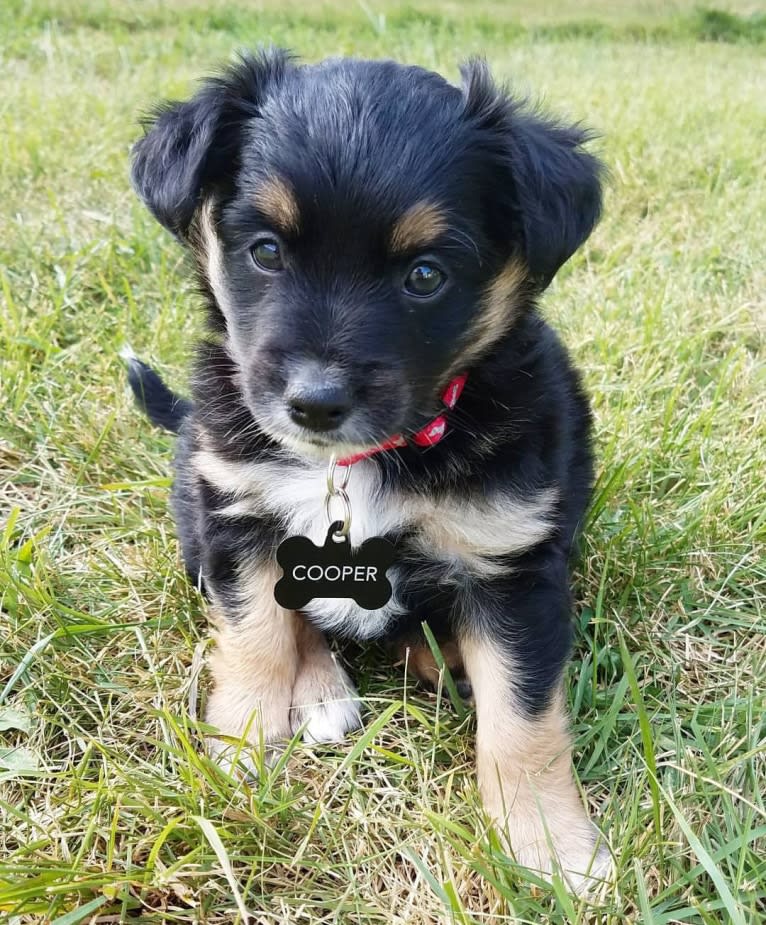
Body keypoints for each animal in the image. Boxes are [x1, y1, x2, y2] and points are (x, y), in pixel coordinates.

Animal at [129, 50, 616, 888]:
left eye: (424, 275)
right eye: (266, 251)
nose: (315, 402)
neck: (351, 464)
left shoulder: (513, 564)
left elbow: (524, 718)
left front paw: (551, 845)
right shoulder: (235, 515)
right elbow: (254, 634)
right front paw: (239, 750)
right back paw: (324, 691)